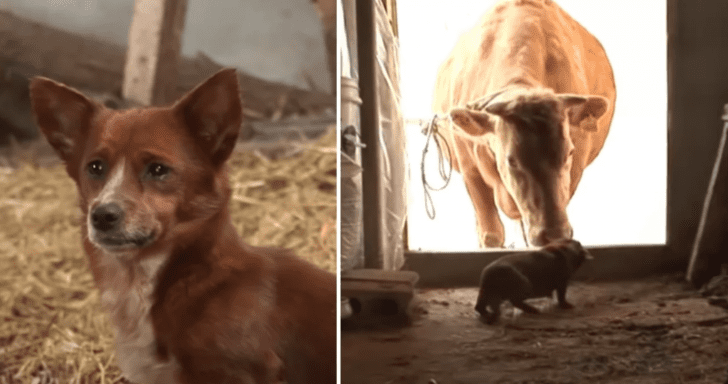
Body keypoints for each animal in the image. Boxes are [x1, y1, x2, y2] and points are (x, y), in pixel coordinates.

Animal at [436, 0, 616, 248]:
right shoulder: (469, 169)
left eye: (569, 153)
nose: (554, 233)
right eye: (510, 160)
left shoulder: (575, 168)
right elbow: (491, 234)